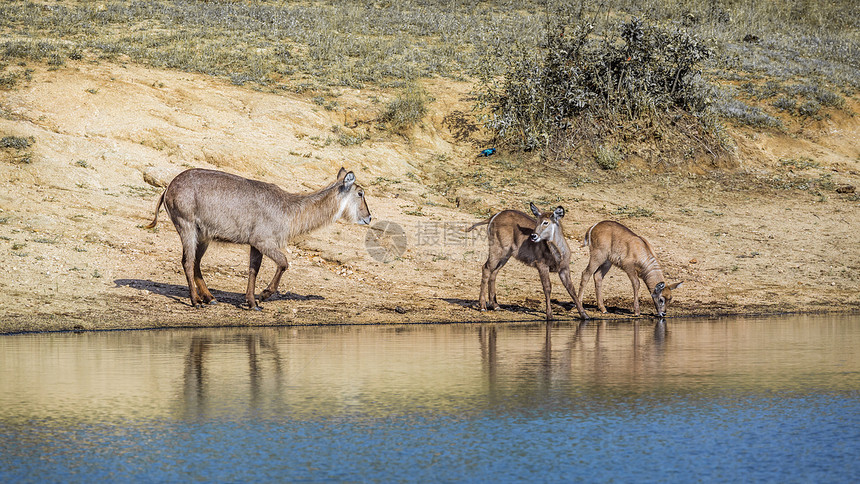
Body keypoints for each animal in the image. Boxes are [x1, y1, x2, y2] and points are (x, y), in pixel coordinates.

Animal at [144, 167, 370, 310]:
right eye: (360, 193)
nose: (368, 217)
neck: (288, 210)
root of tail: (168, 188)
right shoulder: (264, 241)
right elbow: (284, 262)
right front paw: (263, 295)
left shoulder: (255, 244)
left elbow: (253, 270)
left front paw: (252, 303)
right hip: (187, 226)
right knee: (188, 262)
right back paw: (196, 301)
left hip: (203, 235)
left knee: (196, 263)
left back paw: (210, 298)